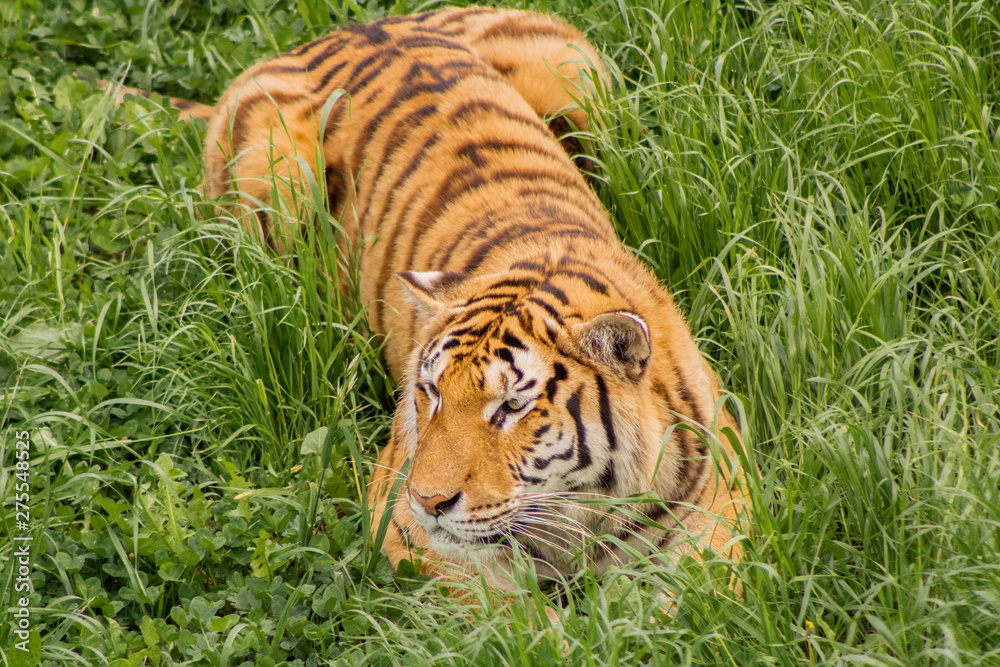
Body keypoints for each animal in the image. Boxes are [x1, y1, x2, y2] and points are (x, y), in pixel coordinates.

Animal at [136, 6, 750, 590]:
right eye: (430, 392)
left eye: (512, 407)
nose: (429, 502)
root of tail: (361, 26)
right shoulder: (408, 525)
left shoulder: (719, 505)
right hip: (277, 180)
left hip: (581, 77)